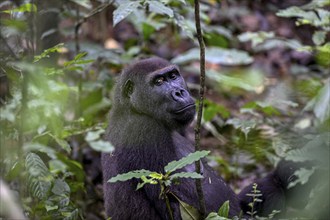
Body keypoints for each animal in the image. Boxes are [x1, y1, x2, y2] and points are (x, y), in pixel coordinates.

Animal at [100, 57, 312, 219]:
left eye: (173, 76)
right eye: (158, 82)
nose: (179, 92)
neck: (129, 108)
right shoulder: (144, 131)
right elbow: (176, 207)